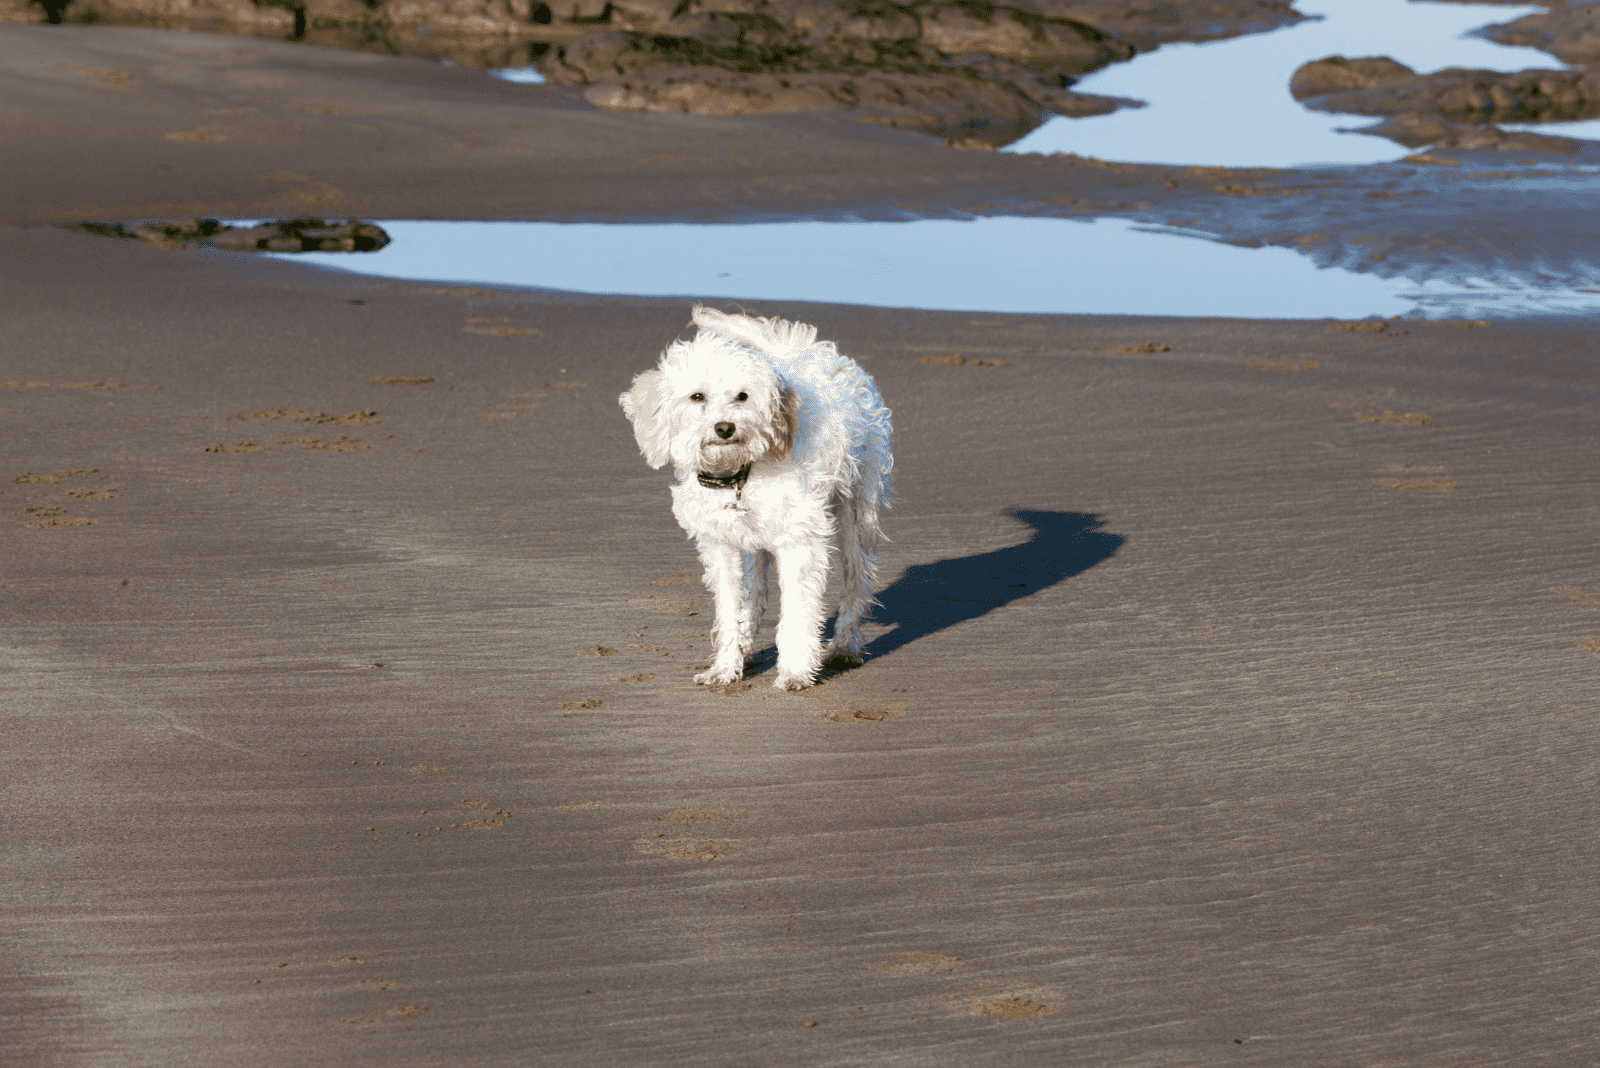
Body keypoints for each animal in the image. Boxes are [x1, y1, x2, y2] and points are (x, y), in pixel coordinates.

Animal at [617, 308, 896, 693]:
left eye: (742, 396)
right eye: (697, 397)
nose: (725, 428)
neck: (740, 477)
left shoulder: (800, 542)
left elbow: (798, 611)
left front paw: (795, 670)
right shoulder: (721, 546)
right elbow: (732, 610)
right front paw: (724, 668)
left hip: (858, 516)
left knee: (857, 582)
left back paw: (843, 647)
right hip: (753, 548)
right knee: (757, 596)